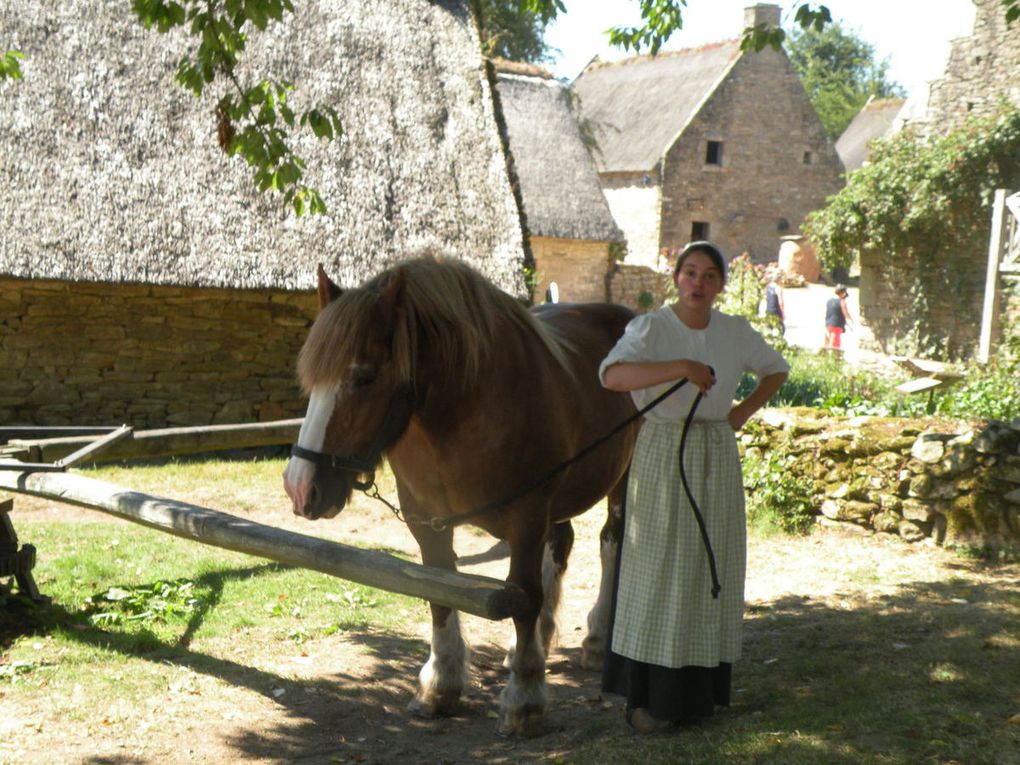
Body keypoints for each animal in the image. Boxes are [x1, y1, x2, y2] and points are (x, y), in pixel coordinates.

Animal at [283, 258, 636, 738]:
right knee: (561, 546)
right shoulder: (426, 519)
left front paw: (525, 697)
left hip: (622, 476)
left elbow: (524, 596)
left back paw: (597, 639)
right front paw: (441, 684)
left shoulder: (527, 515)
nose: (300, 485)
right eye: (311, 379)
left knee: (611, 543)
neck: (465, 413)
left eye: (364, 377)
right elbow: (439, 592)